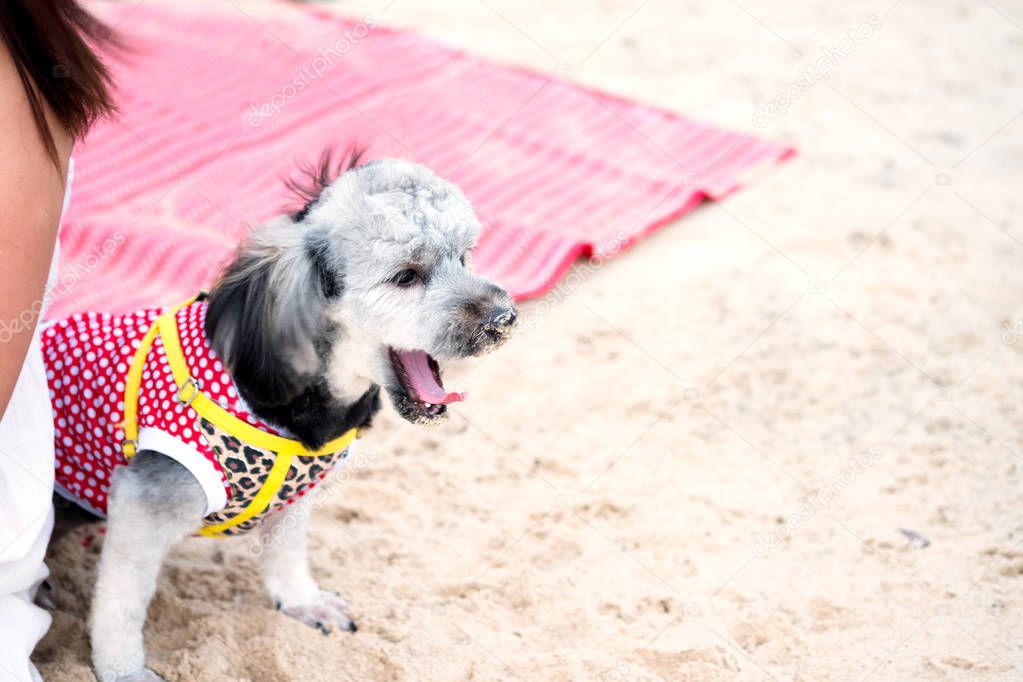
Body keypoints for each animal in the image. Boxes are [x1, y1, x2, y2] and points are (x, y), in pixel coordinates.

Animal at [42, 154, 515, 682]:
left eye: (465, 257)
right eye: (406, 276)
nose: (504, 318)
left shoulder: (294, 499)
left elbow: (286, 556)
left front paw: (300, 601)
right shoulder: (142, 505)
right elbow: (121, 603)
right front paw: (123, 670)